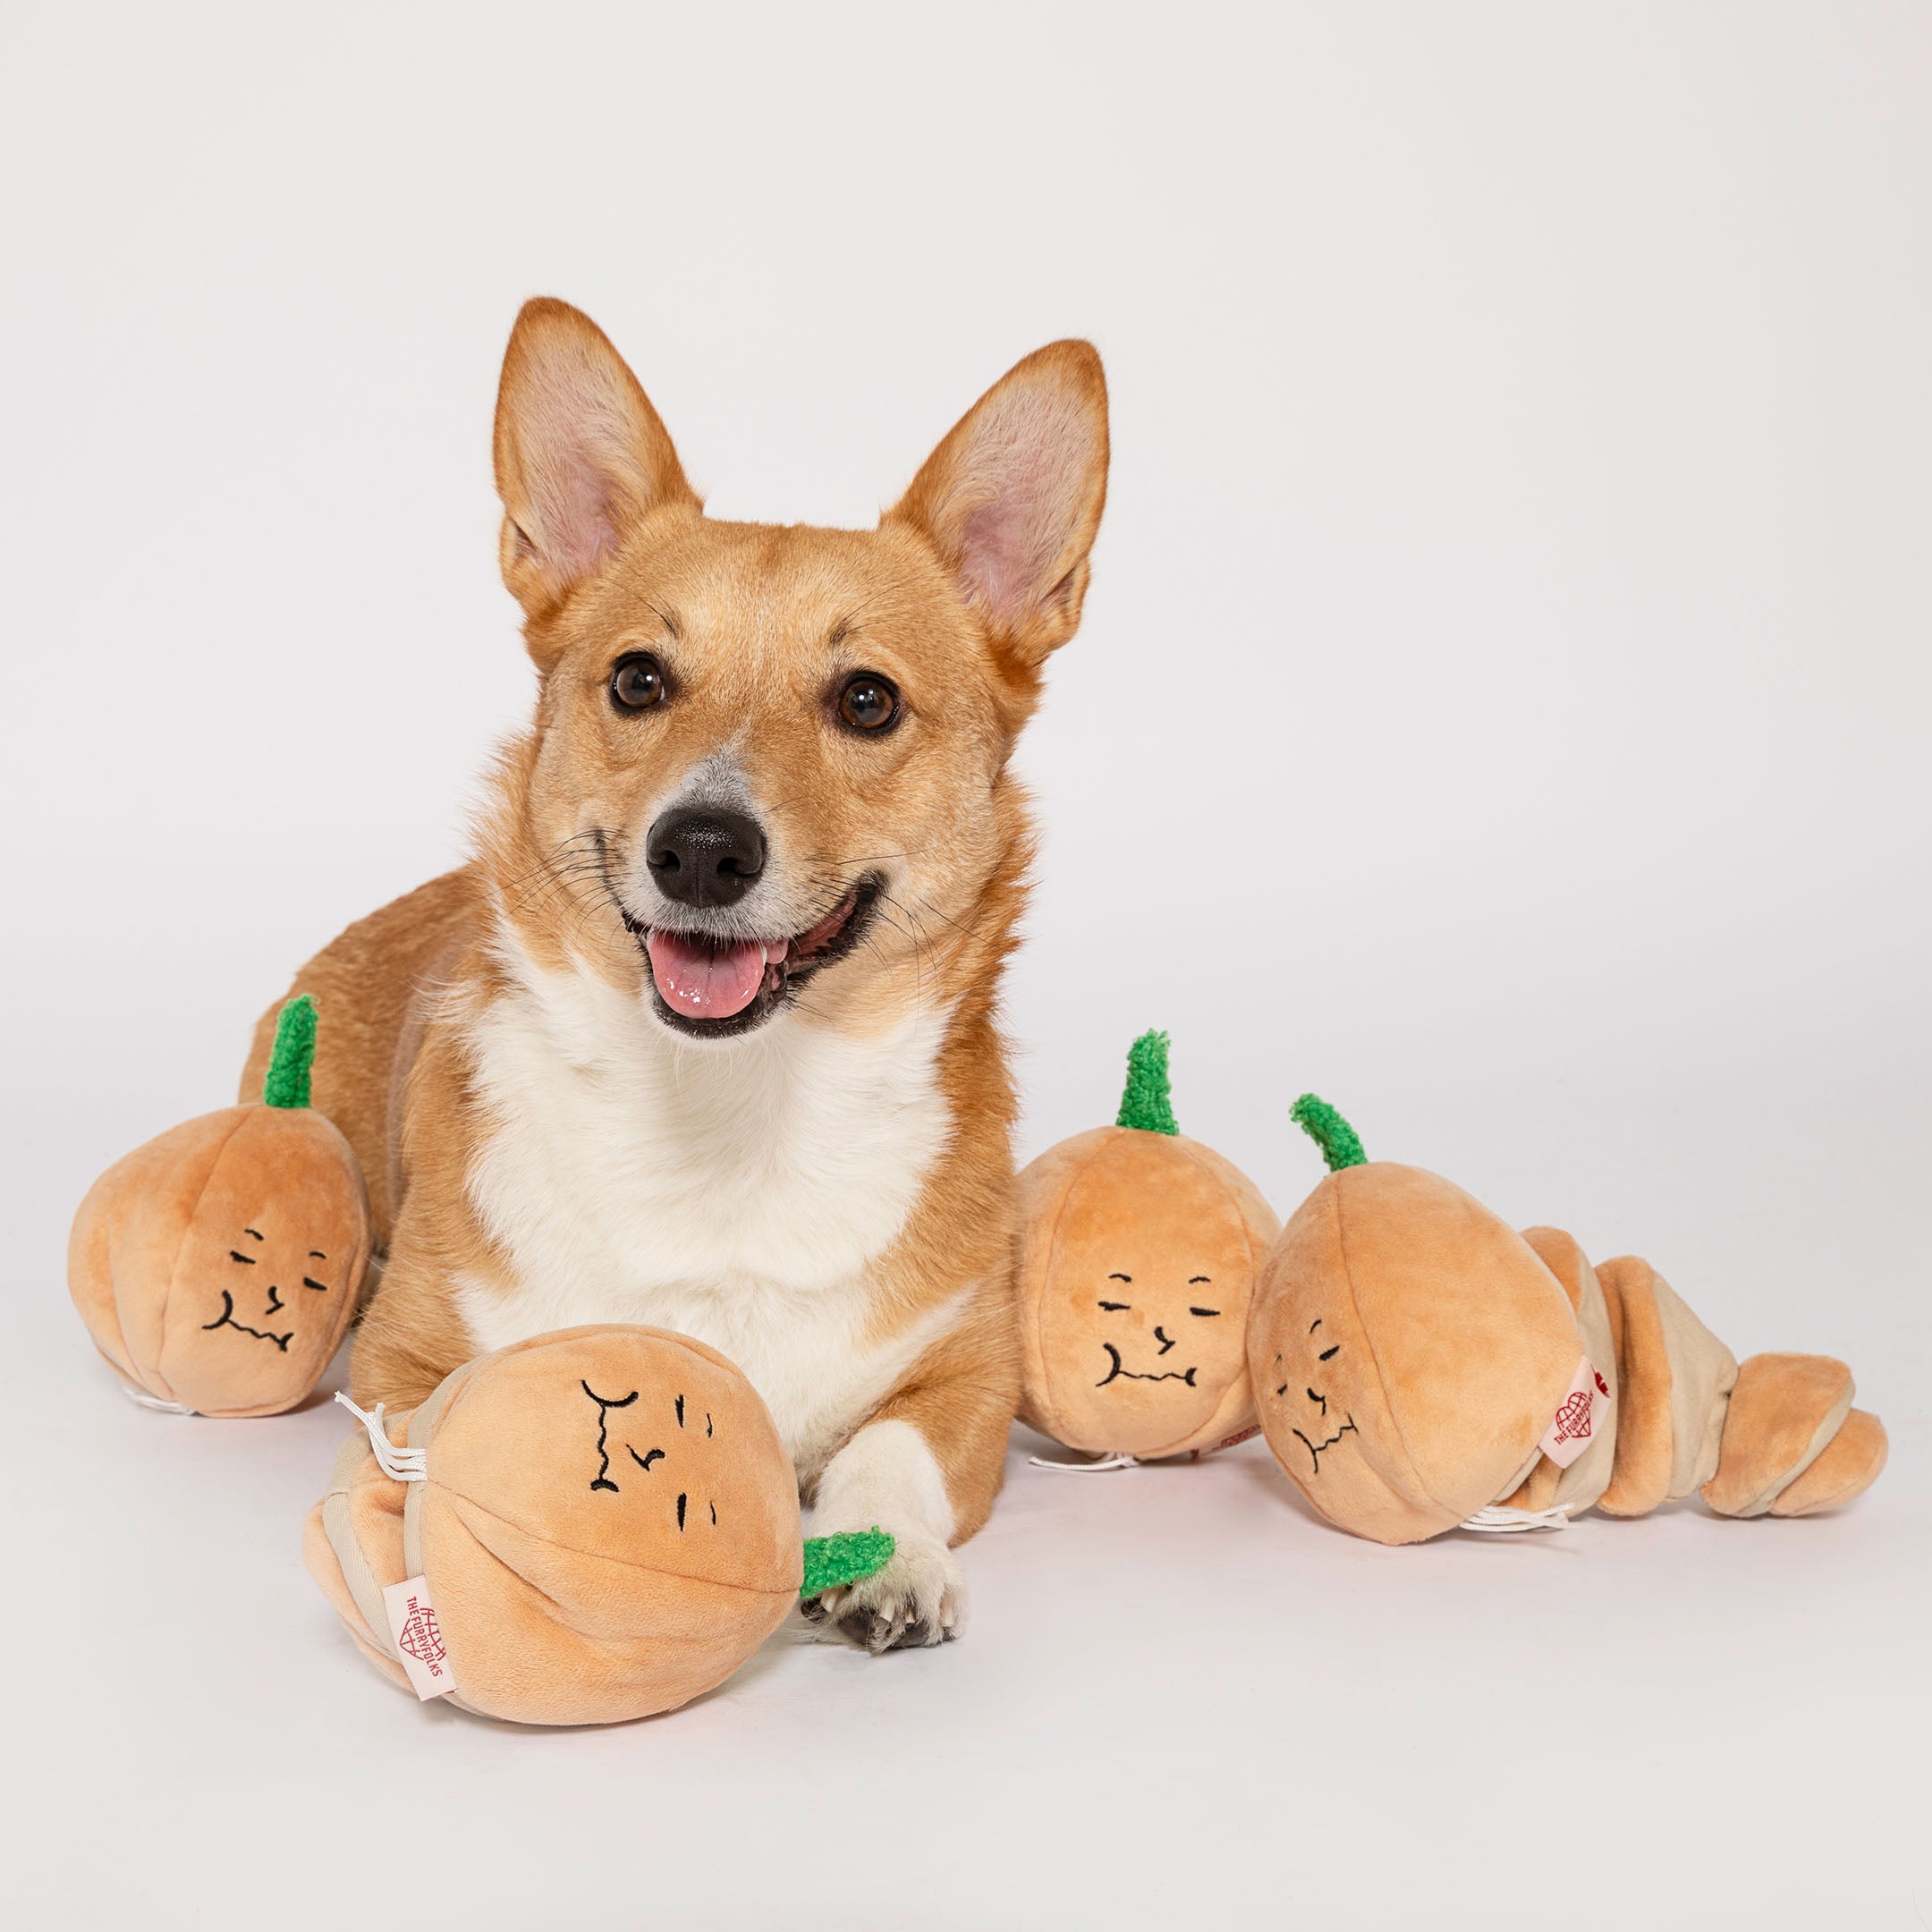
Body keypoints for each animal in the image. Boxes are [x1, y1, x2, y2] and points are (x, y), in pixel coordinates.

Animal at [245, 297, 1105, 1646]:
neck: (729, 1112)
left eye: (868, 701)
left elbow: (891, 1452)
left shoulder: (968, 1377)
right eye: (639, 679)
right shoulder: (407, 1361)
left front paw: (888, 1559)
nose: (701, 848)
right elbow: (430, 1434)